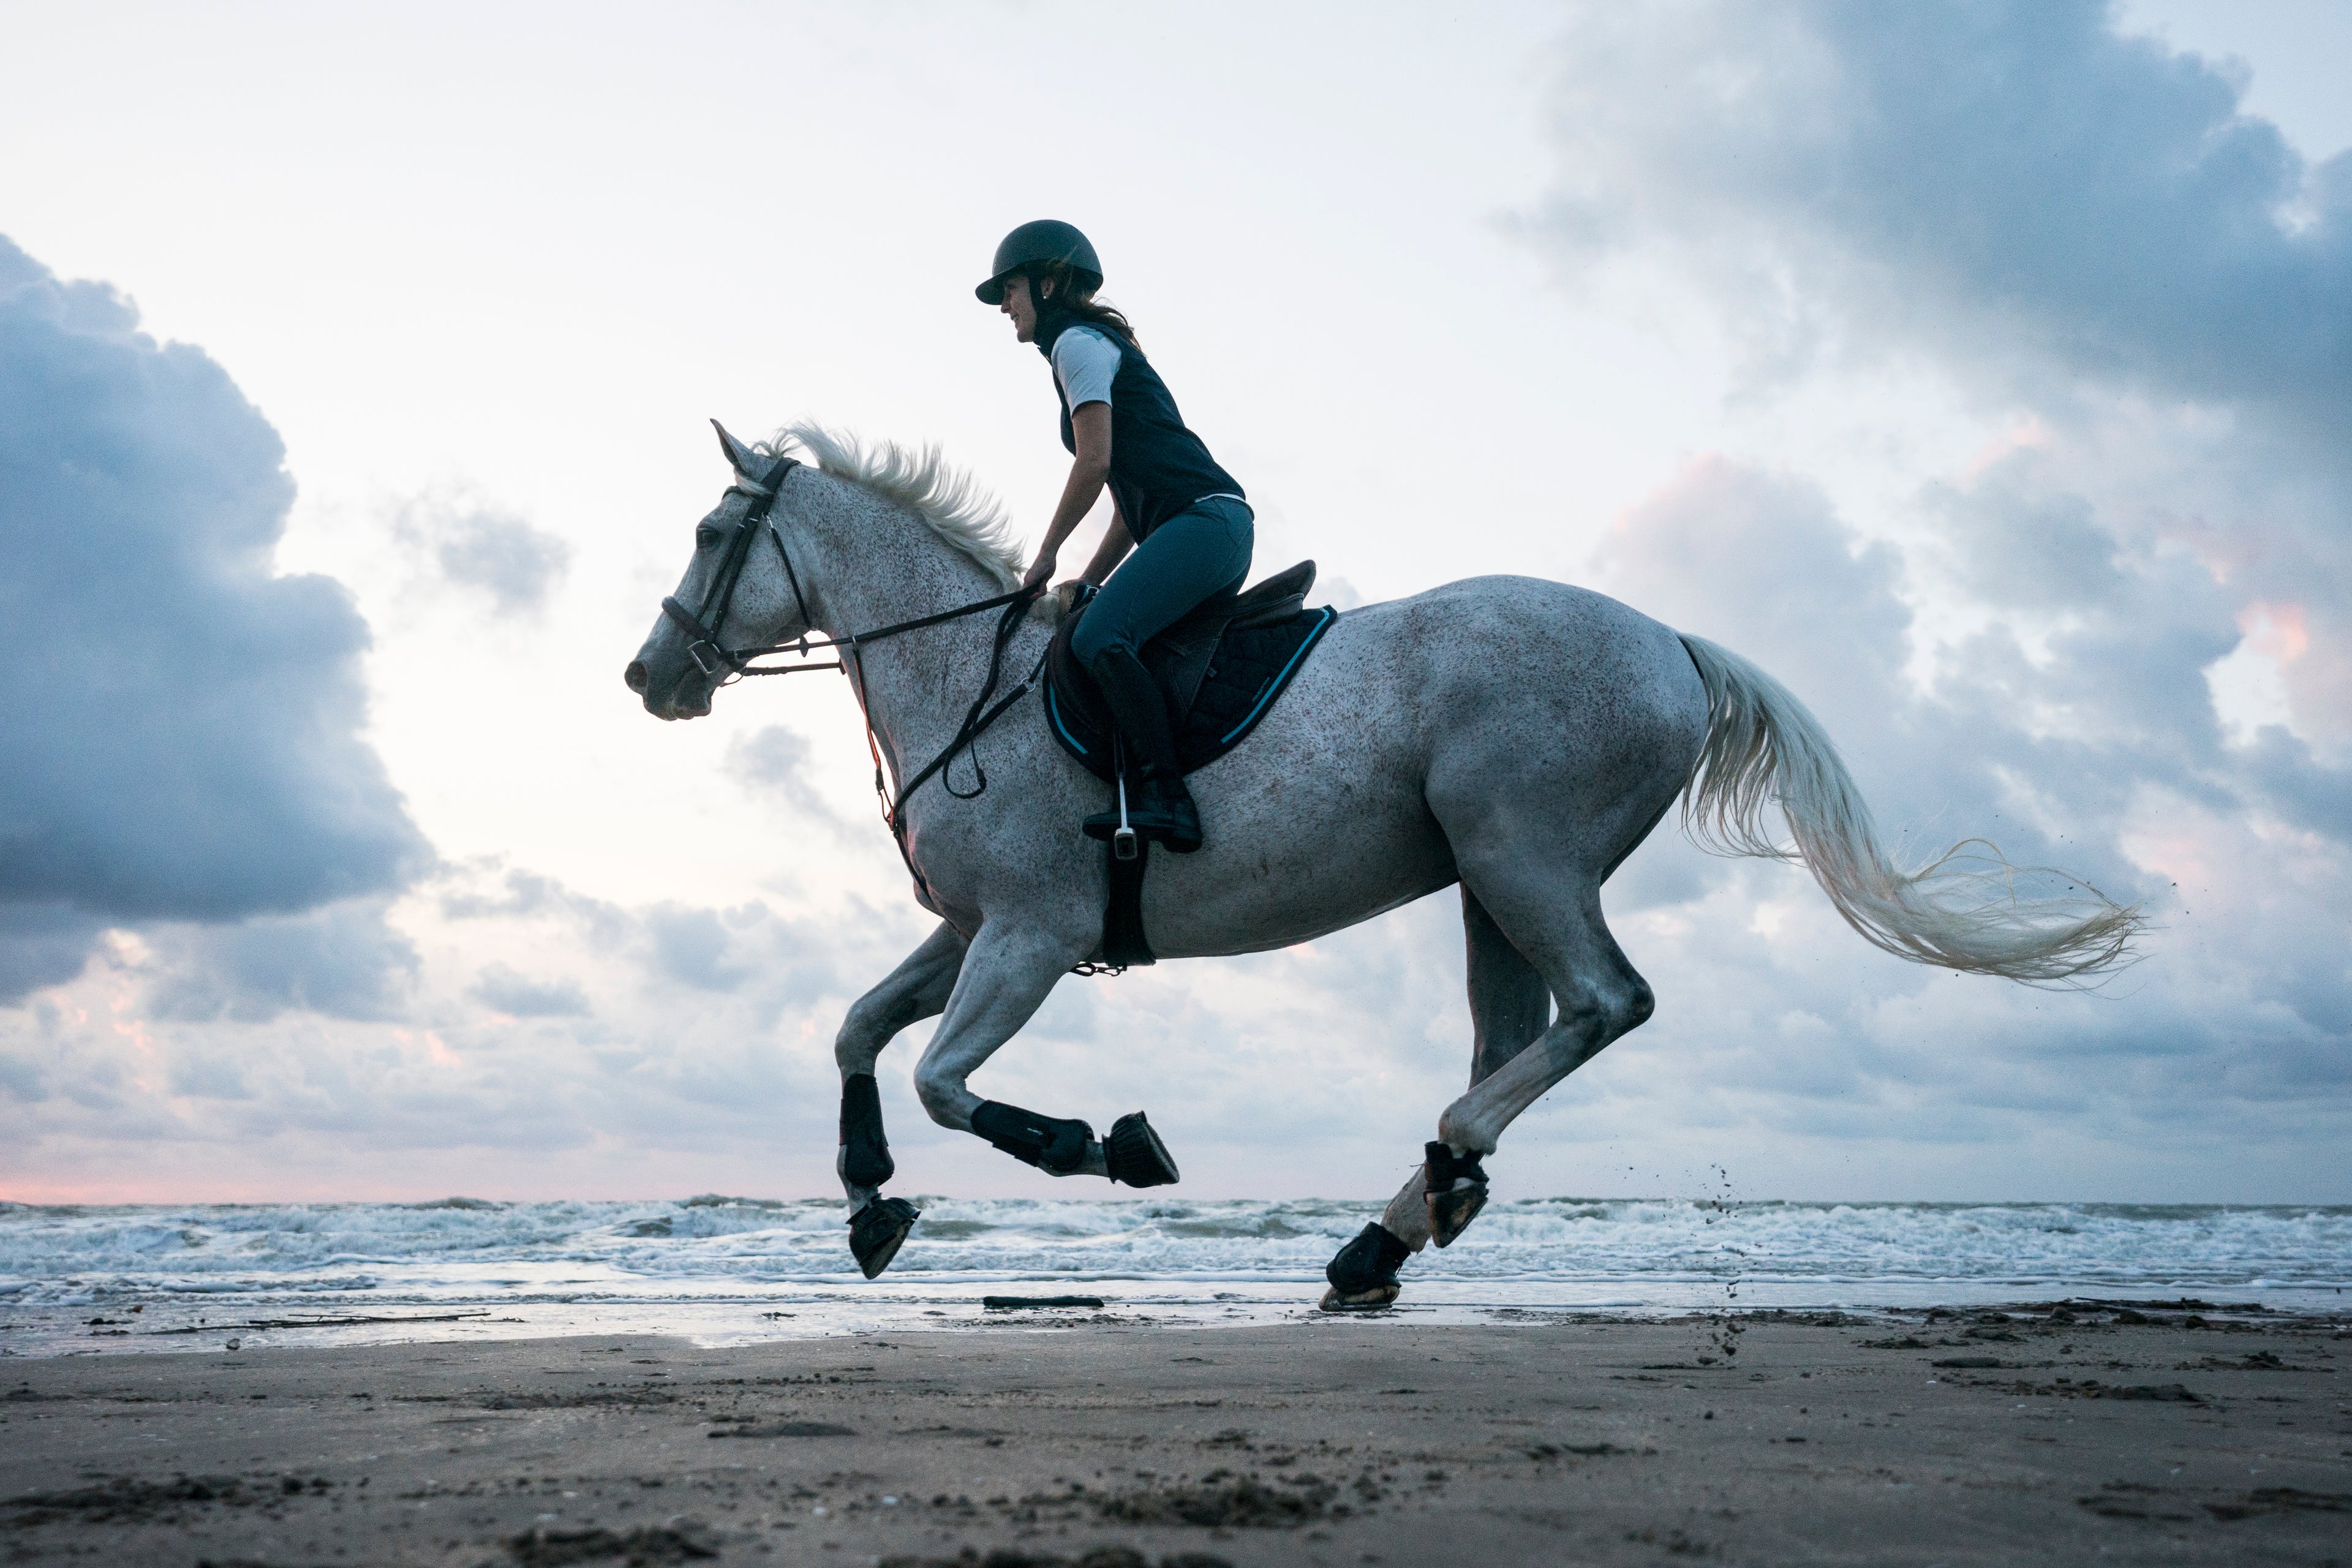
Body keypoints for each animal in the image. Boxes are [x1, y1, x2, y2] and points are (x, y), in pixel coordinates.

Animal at [626, 421, 2142, 1307]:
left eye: (708, 534)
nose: (649, 677)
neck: (965, 677)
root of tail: (1670, 641)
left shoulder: (1032, 934)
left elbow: (948, 1080)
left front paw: (1101, 1144)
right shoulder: (970, 928)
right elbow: (858, 1027)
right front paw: (869, 1196)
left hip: (1522, 851)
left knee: (1604, 1006)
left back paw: (1406, 1209)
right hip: (1486, 880)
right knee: (1521, 1032)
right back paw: (1410, 1214)